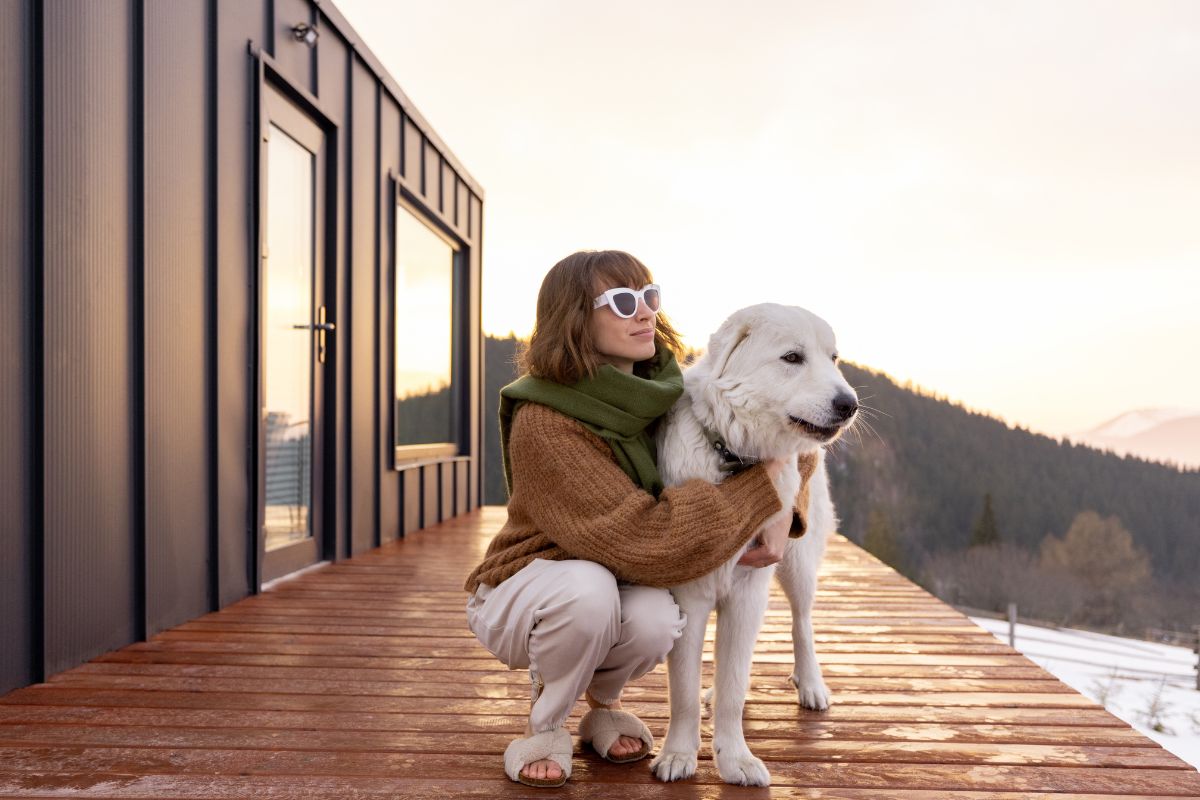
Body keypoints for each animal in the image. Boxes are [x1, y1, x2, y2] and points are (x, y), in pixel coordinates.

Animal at [652, 303, 859, 786]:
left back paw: (812, 685)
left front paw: (735, 761)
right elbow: (684, 690)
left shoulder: (748, 591)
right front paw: (679, 755)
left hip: (798, 565)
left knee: (802, 623)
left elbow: (734, 685)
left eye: (834, 358)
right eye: (792, 358)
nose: (850, 404)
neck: (733, 457)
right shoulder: (689, 596)